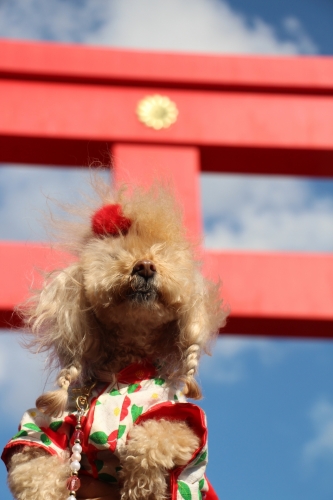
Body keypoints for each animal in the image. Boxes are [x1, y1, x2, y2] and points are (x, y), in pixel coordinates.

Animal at [1, 182, 226, 500]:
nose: (145, 266)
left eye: (163, 255)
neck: (122, 374)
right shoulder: (45, 427)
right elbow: (34, 464)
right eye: (114, 256)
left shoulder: (182, 418)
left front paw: (140, 485)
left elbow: (156, 439)